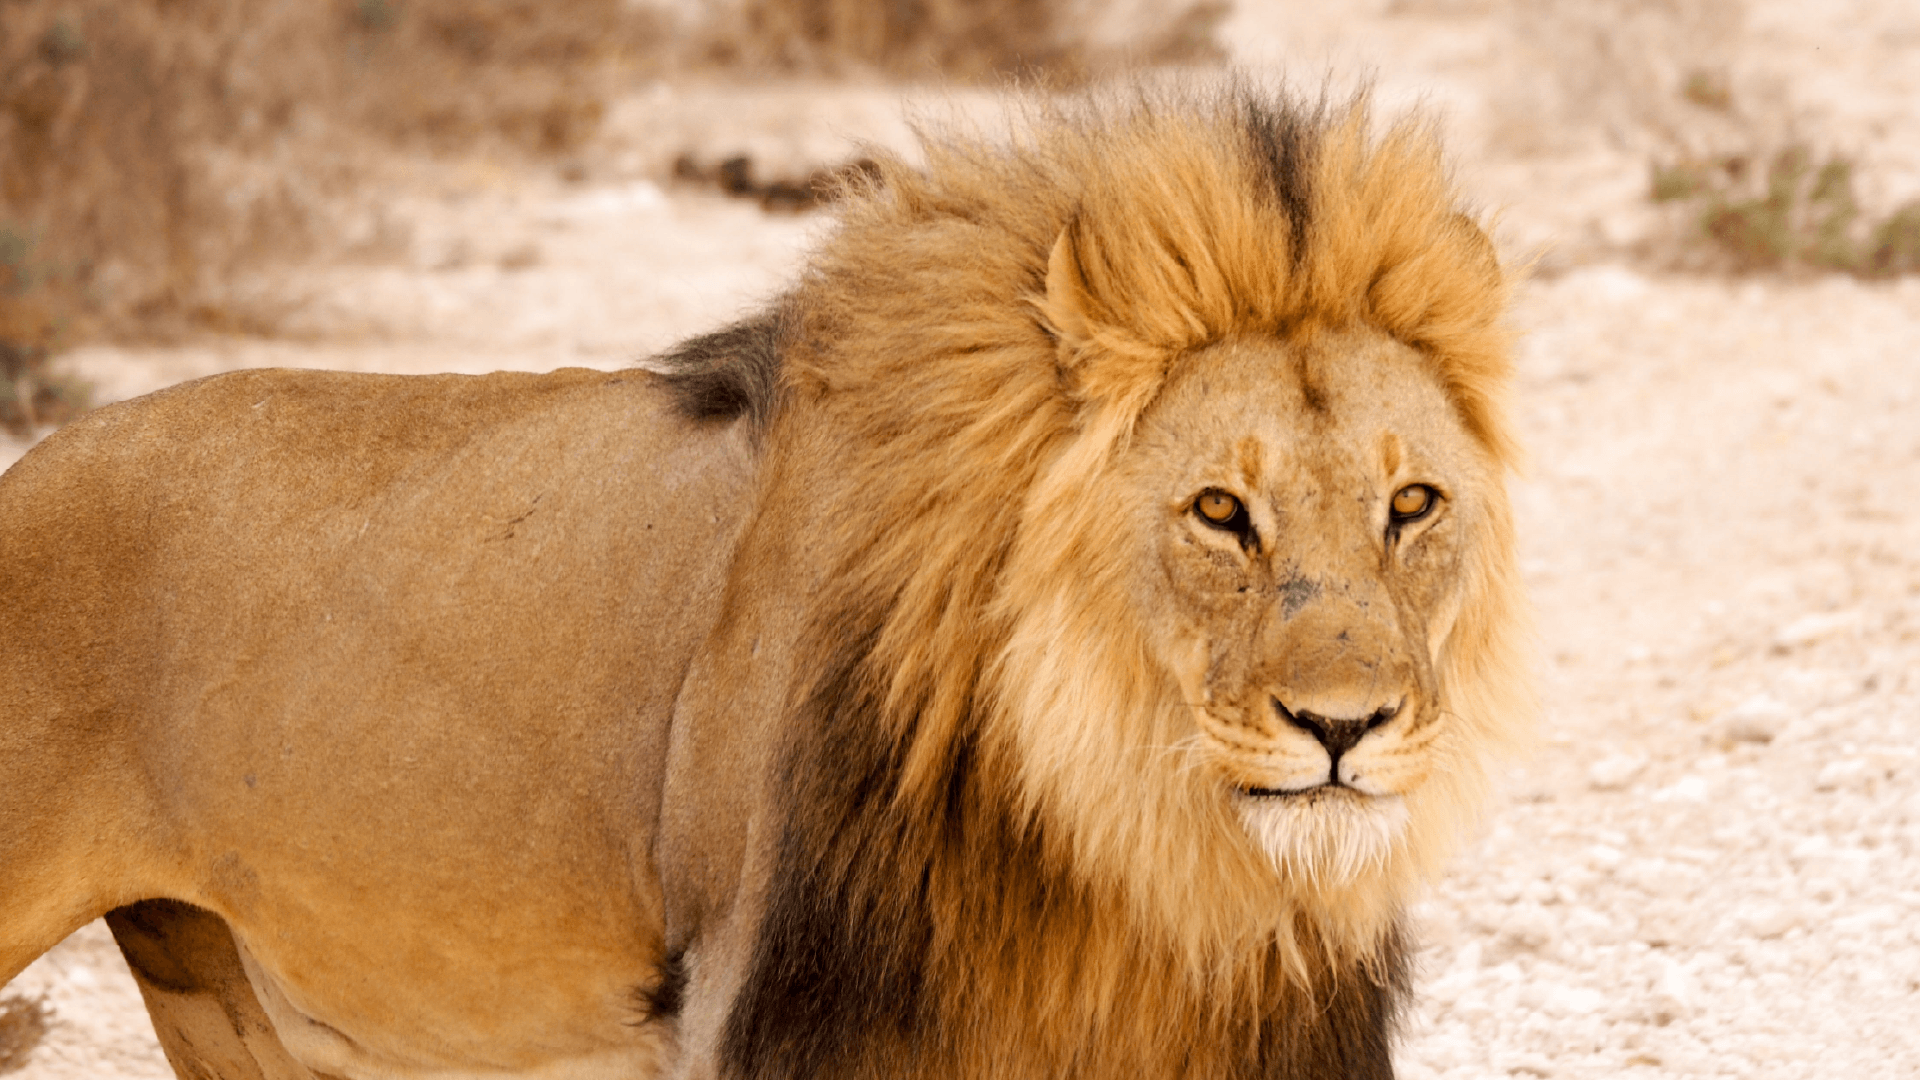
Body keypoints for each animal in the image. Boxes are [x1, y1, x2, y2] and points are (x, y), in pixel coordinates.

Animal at [0, 86, 1530, 1080]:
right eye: (1221, 512)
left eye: (1411, 506)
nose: (1346, 729)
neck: (1114, 857)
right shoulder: (771, 1009)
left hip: (219, 986)